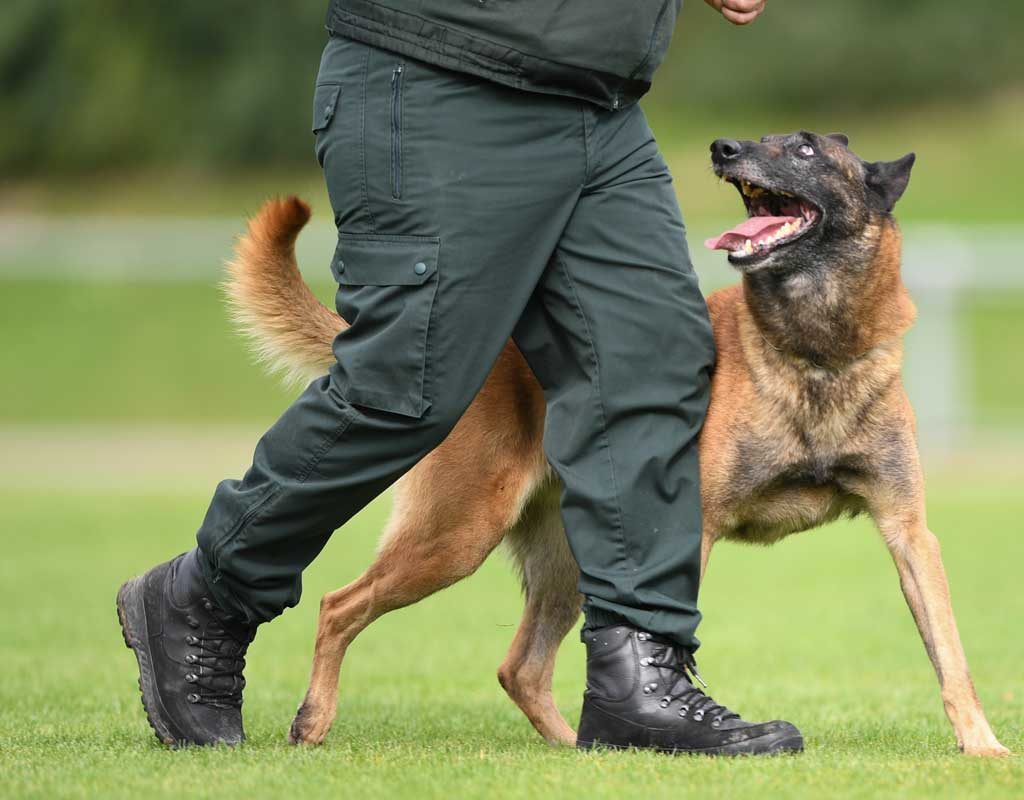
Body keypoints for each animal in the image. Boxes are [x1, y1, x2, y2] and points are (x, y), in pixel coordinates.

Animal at [222, 131, 1007, 753]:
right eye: (765, 139)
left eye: (808, 148)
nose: (725, 148)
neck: (813, 353)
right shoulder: (695, 528)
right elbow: (673, 635)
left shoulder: (908, 532)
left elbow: (951, 653)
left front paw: (981, 744)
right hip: (458, 534)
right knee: (338, 605)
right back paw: (312, 720)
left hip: (565, 560)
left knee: (520, 668)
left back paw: (585, 745)